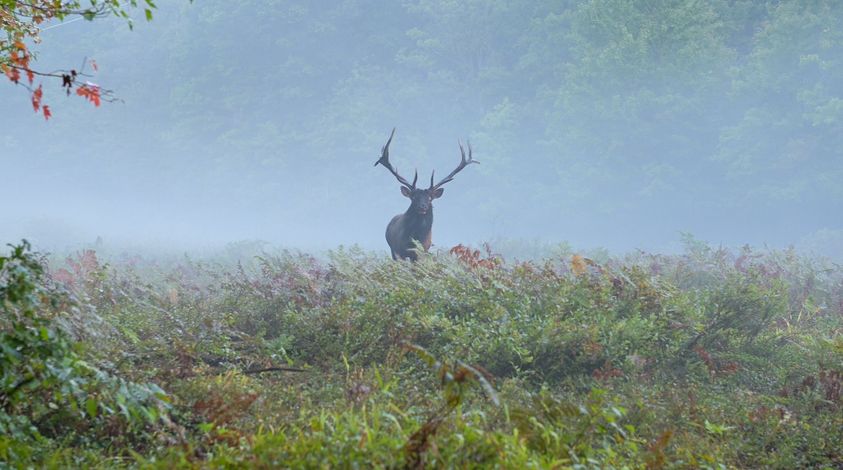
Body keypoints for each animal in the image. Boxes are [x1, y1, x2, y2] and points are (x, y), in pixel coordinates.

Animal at [374, 128, 478, 261]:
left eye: (430, 198)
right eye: (414, 197)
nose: (422, 207)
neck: (415, 238)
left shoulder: (422, 252)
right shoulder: (399, 251)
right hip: (392, 249)